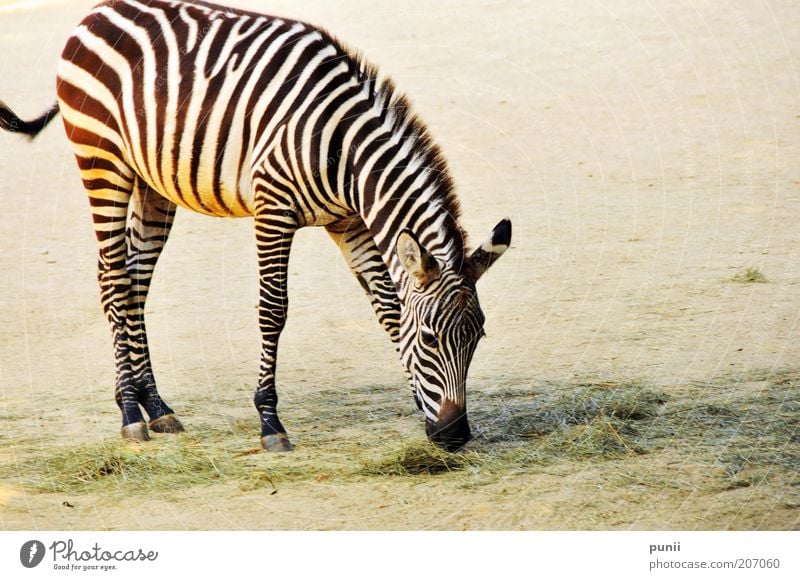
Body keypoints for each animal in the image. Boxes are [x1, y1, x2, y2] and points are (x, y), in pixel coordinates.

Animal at [0, 0, 510, 454]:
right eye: (430, 339)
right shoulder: (273, 210)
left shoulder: (347, 222)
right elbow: (273, 310)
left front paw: (417, 401)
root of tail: (97, 11)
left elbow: (387, 310)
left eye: (478, 337)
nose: (454, 436)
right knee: (113, 279)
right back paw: (129, 411)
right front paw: (269, 421)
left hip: (152, 182)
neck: (344, 153)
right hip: (102, 161)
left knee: (133, 282)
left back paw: (155, 406)